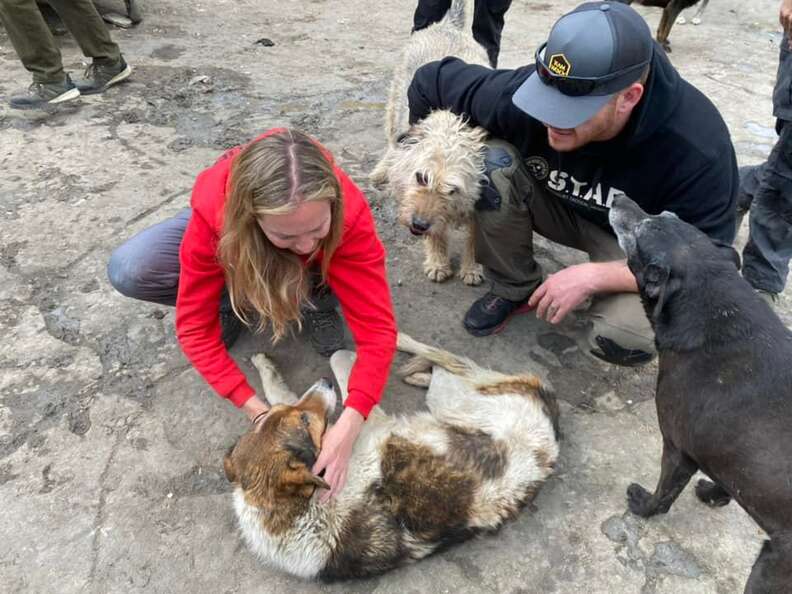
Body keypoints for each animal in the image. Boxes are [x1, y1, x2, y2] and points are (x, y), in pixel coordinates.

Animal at [220, 332, 560, 580]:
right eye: (303, 420)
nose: (324, 382)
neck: (296, 509)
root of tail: (552, 436)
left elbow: (327, 372)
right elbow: (328, 371)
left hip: (453, 398)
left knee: (448, 361)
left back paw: (403, 350)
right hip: (450, 397)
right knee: (445, 363)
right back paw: (408, 354)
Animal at [370, 0, 488, 284]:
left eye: (452, 190)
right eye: (421, 177)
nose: (419, 224)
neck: (450, 124)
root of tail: (447, 25)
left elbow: (475, 236)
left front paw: (471, 267)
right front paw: (437, 260)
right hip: (395, 107)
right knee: (391, 140)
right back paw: (382, 169)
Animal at [608, 195, 788, 592]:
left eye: (639, 231)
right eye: (665, 214)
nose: (618, 198)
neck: (716, 310)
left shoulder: (678, 448)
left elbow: (663, 496)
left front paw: (643, 506)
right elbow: (733, 481)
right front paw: (715, 495)